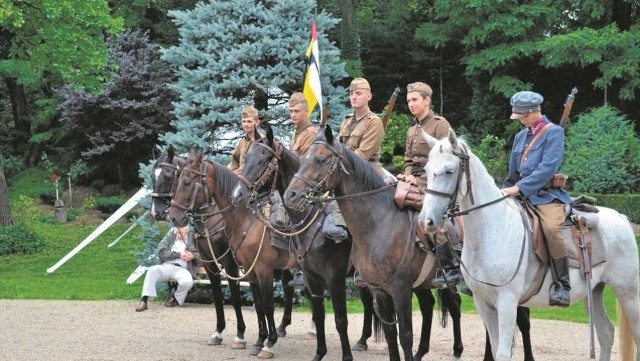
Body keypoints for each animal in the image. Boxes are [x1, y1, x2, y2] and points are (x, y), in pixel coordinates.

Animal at [169, 148, 298, 358]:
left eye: (187, 182)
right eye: (177, 181)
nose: (172, 217)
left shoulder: (245, 268)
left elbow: (249, 301)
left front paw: (249, 339)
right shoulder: (216, 266)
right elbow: (224, 298)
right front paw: (221, 333)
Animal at [418, 129, 636, 360]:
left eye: (449, 171)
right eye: (426, 170)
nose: (426, 221)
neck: (493, 231)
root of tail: (621, 217)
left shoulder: (507, 302)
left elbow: (503, 352)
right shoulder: (483, 303)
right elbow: (494, 348)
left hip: (628, 293)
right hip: (593, 291)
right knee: (606, 333)